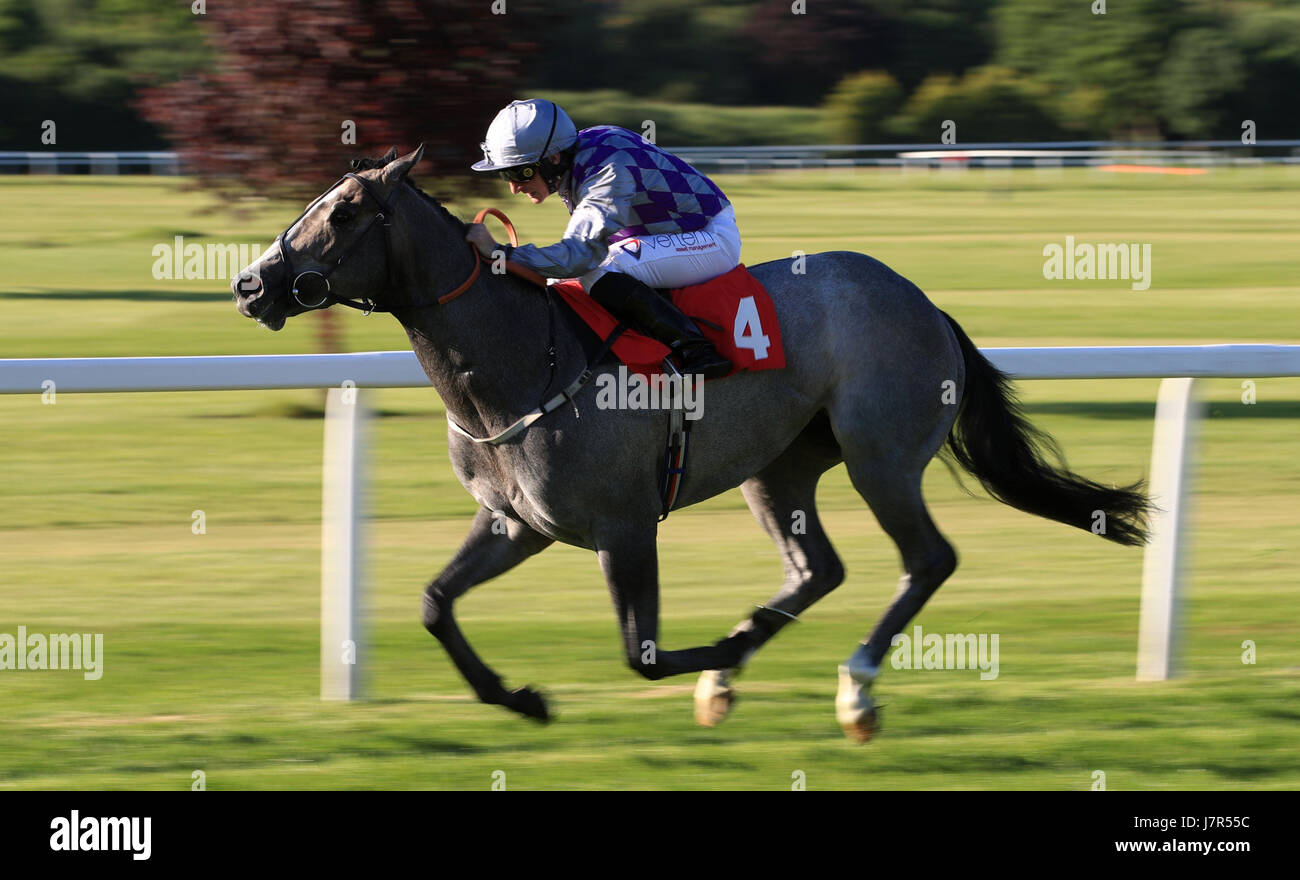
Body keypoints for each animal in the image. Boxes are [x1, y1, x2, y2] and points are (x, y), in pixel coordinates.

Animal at [233, 149, 1149, 743]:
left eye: (343, 211)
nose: (249, 284)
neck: (521, 359)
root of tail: (926, 304)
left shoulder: (624, 525)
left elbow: (641, 654)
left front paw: (715, 653)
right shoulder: (517, 522)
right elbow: (434, 603)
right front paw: (522, 697)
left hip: (880, 456)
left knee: (927, 560)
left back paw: (850, 690)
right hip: (779, 469)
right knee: (819, 569)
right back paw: (739, 669)